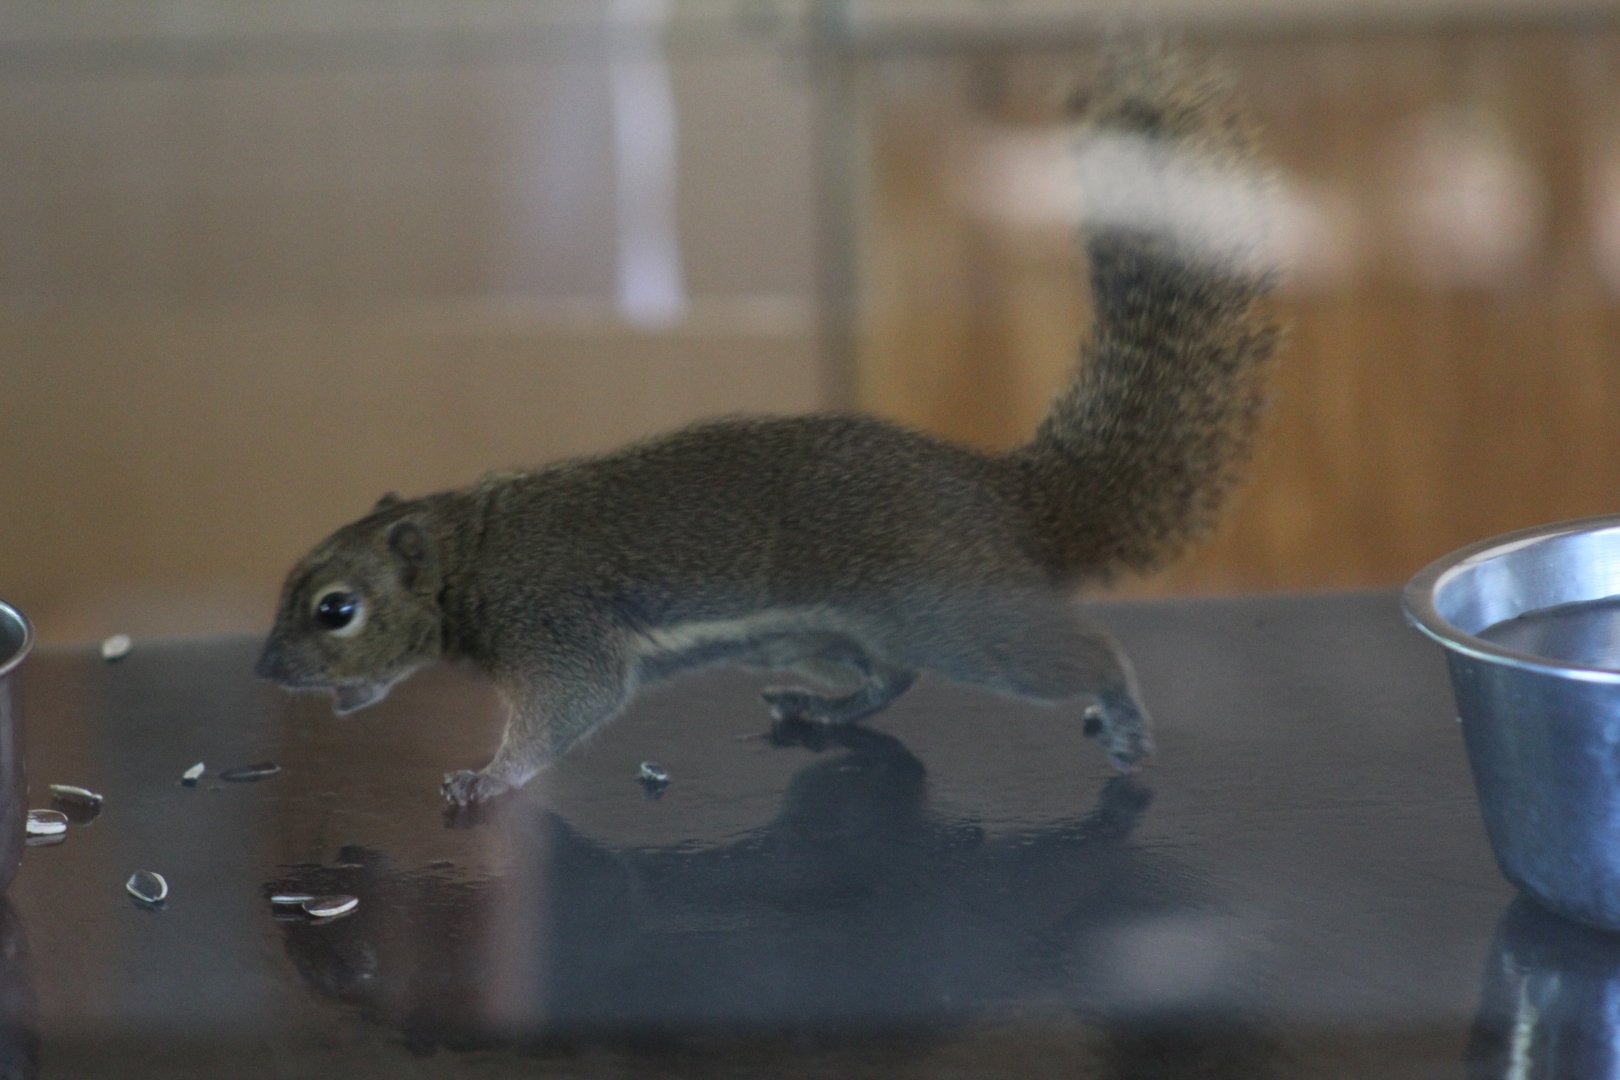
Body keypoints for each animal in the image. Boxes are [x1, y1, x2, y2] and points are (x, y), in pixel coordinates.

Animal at [256, 50, 1281, 808]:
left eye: (336, 609)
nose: (267, 671)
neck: (470, 552)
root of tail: (1002, 490)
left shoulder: (558, 629)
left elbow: (572, 706)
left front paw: (486, 778)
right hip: (822, 633)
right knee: (890, 677)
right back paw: (821, 708)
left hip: (954, 615)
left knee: (1071, 654)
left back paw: (1121, 715)